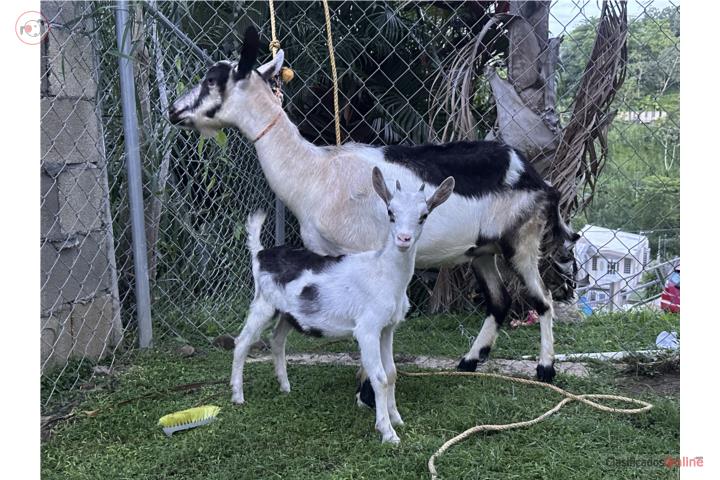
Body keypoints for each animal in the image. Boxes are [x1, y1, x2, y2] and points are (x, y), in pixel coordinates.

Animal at [169, 27, 579, 403]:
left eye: (211, 79)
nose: (175, 111)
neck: (315, 173)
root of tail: (536, 177)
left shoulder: (360, 248)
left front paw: (367, 390)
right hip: (480, 250)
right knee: (499, 301)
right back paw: (469, 361)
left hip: (521, 238)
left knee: (542, 300)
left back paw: (545, 368)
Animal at [230, 167, 455, 443]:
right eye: (390, 213)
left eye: (424, 216)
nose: (404, 239)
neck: (384, 274)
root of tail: (260, 254)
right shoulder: (367, 328)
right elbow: (379, 377)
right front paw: (387, 432)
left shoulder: (387, 327)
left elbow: (391, 373)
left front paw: (397, 419)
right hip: (264, 303)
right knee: (242, 341)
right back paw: (238, 396)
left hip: (287, 312)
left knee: (277, 339)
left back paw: (285, 386)